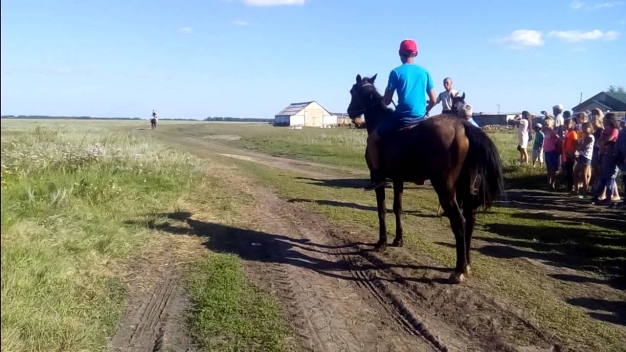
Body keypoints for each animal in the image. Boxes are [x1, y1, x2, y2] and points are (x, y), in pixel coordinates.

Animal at [344, 73, 504, 284]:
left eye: (352, 91)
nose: (350, 112)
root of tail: (462, 125)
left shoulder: (379, 180)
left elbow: (382, 210)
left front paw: (381, 242)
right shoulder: (398, 179)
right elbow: (397, 208)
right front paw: (398, 240)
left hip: (445, 189)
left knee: (459, 222)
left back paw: (458, 270)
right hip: (463, 188)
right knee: (470, 219)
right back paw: (467, 264)